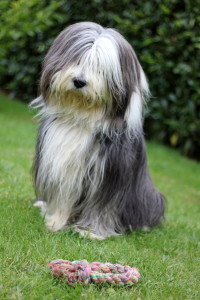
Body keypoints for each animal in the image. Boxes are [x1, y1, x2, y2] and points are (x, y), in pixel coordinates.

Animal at [31, 21, 165, 239]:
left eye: (100, 69)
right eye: (77, 59)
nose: (79, 81)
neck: (82, 117)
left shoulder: (110, 174)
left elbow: (102, 207)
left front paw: (90, 231)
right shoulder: (61, 164)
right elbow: (63, 197)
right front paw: (56, 221)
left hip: (147, 195)